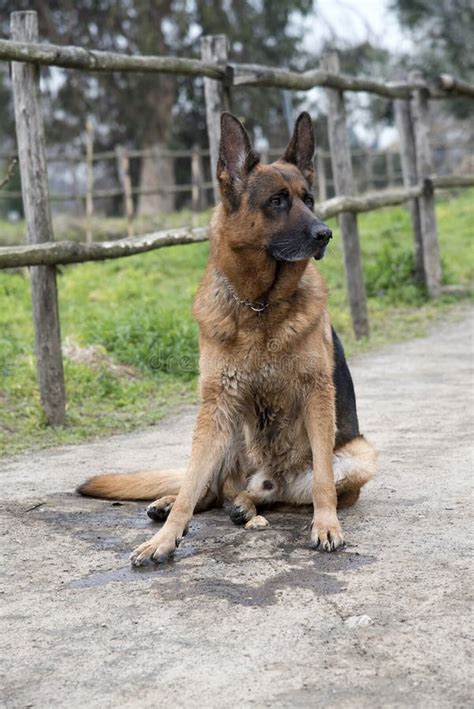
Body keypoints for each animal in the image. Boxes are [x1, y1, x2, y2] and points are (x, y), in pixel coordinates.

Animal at [78, 112, 378, 564]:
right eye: (277, 201)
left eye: (309, 199)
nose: (325, 234)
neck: (260, 305)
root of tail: (265, 477)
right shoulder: (216, 404)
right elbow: (190, 486)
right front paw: (166, 537)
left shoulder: (317, 396)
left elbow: (324, 481)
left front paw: (327, 526)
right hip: (227, 432)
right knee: (206, 488)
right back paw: (176, 503)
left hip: (359, 455)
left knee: (277, 495)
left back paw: (248, 506)